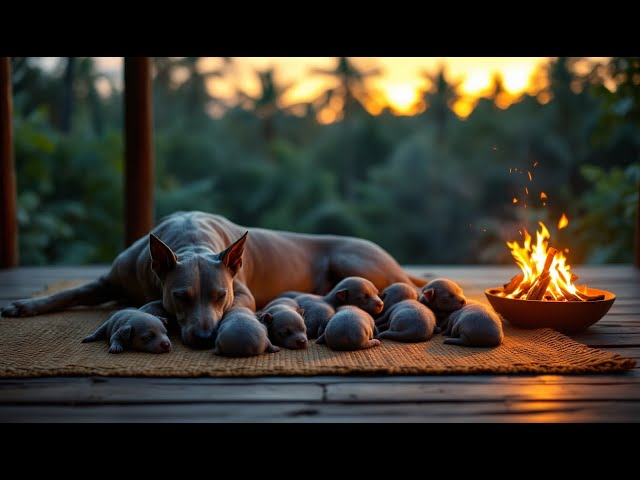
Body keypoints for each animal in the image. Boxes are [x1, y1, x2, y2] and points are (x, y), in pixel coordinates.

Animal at [3, 212, 430, 346]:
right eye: (181, 296)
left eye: (220, 296)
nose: (207, 336)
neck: (189, 240)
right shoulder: (108, 282)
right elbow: (69, 293)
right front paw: (25, 305)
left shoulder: (243, 295)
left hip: (354, 259)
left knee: (407, 288)